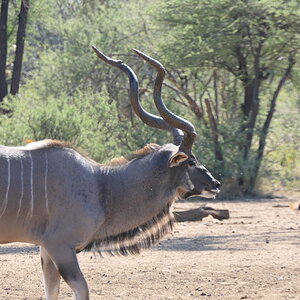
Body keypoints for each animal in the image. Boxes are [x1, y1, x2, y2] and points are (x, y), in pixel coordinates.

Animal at [0, 46, 220, 298]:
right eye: (191, 161)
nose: (215, 184)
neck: (102, 184)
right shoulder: (59, 246)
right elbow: (82, 289)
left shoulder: (46, 249)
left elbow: (51, 290)